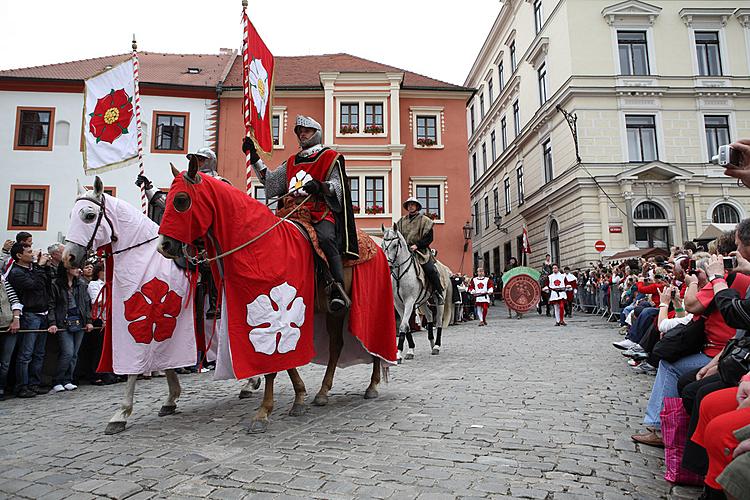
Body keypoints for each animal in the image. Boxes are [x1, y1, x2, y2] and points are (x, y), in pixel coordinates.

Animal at [62, 179, 262, 434]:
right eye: (70, 215)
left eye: (89, 216)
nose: (68, 257)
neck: (141, 257)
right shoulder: (161, 329)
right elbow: (166, 363)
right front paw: (171, 398)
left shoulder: (147, 328)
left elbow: (134, 368)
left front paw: (121, 413)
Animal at [156, 161, 396, 434]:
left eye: (181, 200)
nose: (164, 246)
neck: (262, 246)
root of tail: (377, 245)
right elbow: (286, 360)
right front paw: (299, 396)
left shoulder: (278, 320)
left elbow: (272, 364)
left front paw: (263, 412)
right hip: (334, 312)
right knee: (336, 346)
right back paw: (323, 392)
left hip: (370, 307)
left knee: (374, 344)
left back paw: (372, 385)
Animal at [382, 226, 446, 360]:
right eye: (382, 244)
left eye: (395, 245)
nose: (389, 266)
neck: (400, 275)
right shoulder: (398, 304)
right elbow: (406, 326)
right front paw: (409, 350)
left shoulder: (409, 302)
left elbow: (403, 326)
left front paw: (399, 353)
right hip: (423, 301)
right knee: (429, 316)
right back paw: (432, 343)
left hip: (439, 300)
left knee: (438, 321)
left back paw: (437, 346)